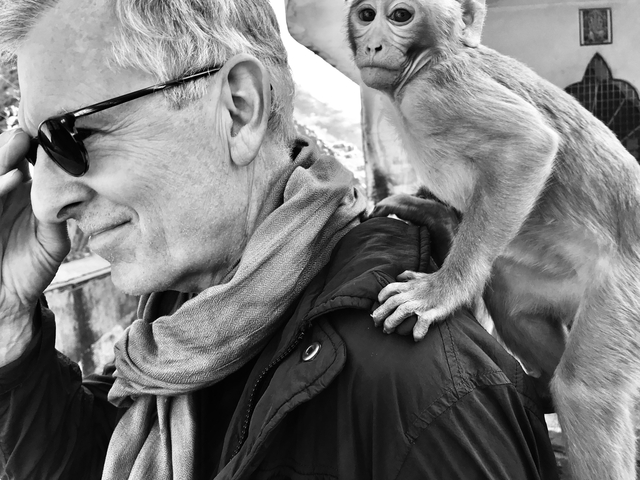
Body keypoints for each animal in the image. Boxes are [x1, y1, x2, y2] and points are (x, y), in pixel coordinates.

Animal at [347, 0, 640, 479]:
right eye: (366, 14)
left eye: (400, 15)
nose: (372, 44)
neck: (425, 60)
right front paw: (434, 217)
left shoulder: (438, 92)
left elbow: (528, 145)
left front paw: (442, 292)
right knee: (512, 304)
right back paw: (538, 387)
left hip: (627, 289)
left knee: (583, 391)